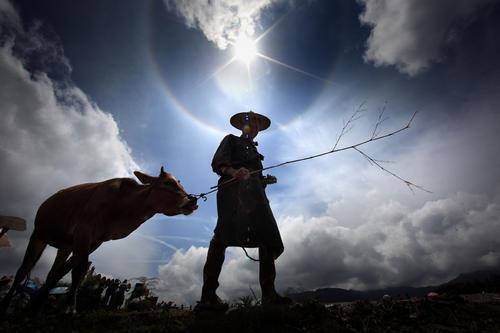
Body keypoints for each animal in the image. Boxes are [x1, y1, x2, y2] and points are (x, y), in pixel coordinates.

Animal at [0, 167, 198, 312]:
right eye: (167, 182)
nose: (192, 200)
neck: (122, 209)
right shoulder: (84, 232)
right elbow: (79, 270)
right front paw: (69, 308)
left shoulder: (95, 241)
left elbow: (67, 271)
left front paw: (50, 305)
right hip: (38, 235)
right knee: (23, 270)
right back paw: (7, 303)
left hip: (65, 246)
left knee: (53, 273)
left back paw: (35, 305)